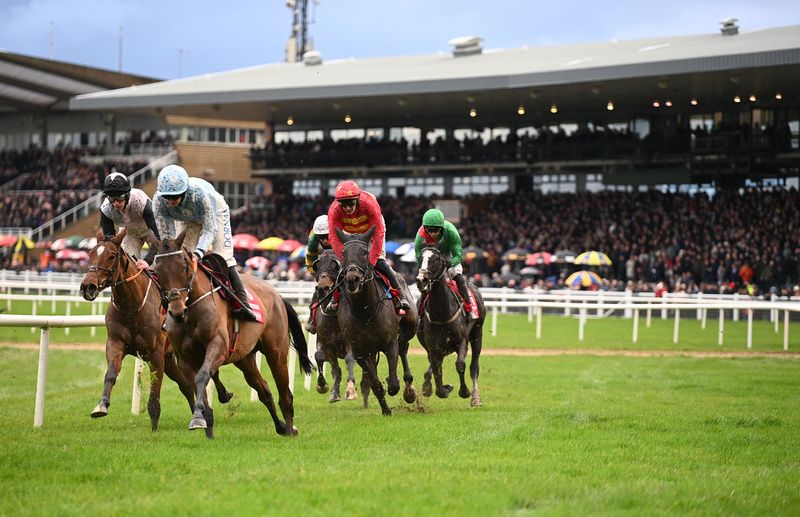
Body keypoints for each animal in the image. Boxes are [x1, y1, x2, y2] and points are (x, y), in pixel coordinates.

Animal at [79, 231, 231, 432]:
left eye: (111, 256)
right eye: (91, 254)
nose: (87, 287)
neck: (131, 306)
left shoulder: (155, 352)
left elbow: (155, 386)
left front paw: (154, 423)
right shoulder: (115, 342)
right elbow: (111, 373)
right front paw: (101, 405)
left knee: (209, 373)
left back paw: (222, 396)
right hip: (171, 359)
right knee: (185, 385)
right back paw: (198, 413)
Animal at [153, 232, 312, 438]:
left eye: (185, 267)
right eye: (157, 271)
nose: (177, 311)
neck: (192, 311)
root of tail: (277, 295)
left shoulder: (218, 346)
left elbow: (203, 375)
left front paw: (199, 417)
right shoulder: (185, 359)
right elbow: (198, 385)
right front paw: (204, 423)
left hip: (276, 352)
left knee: (285, 394)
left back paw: (291, 428)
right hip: (245, 358)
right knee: (264, 390)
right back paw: (281, 426)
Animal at [310, 250, 358, 404]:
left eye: (335, 266)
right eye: (317, 266)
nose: (322, 288)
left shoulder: (350, 341)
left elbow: (349, 358)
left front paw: (351, 390)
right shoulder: (327, 344)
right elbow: (321, 358)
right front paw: (325, 387)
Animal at [332, 227, 416, 416]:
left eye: (364, 252)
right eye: (343, 252)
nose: (352, 279)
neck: (365, 311)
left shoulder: (390, 343)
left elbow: (393, 384)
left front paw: (395, 385)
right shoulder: (359, 352)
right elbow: (376, 384)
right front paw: (386, 409)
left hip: (410, 326)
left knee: (404, 346)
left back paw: (409, 389)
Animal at [416, 244, 484, 406]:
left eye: (435, 259)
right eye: (420, 258)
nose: (421, 280)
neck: (442, 313)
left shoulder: (462, 341)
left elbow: (460, 364)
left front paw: (464, 392)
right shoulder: (434, 346)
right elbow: (436, 368)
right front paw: (443, 389)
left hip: (477, 332)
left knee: (474, 366)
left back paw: (475, 397)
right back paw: (428, 385)